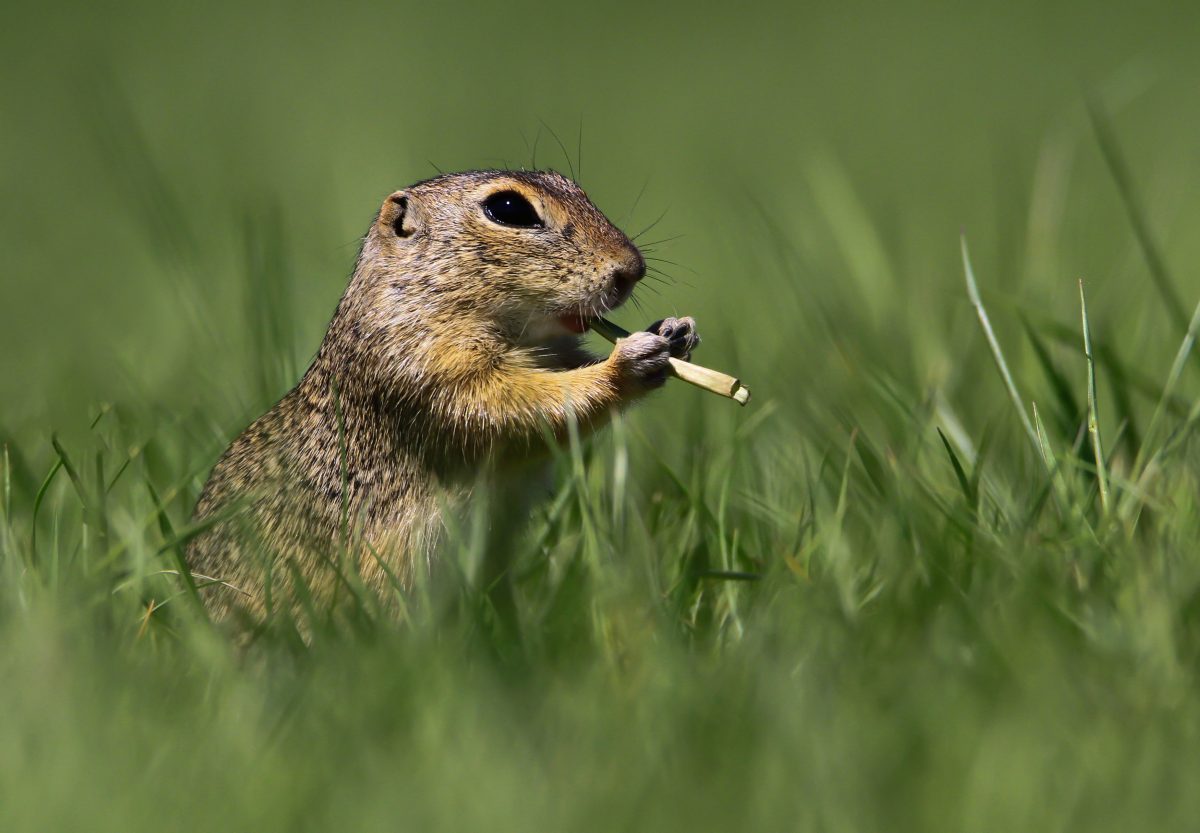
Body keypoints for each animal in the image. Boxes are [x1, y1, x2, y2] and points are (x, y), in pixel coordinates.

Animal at [188, 169, 700, 624]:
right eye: (509, 209)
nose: (632, 270)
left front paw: (675, 331)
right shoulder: (428, 370)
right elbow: (514, 407)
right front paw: (629, 361)